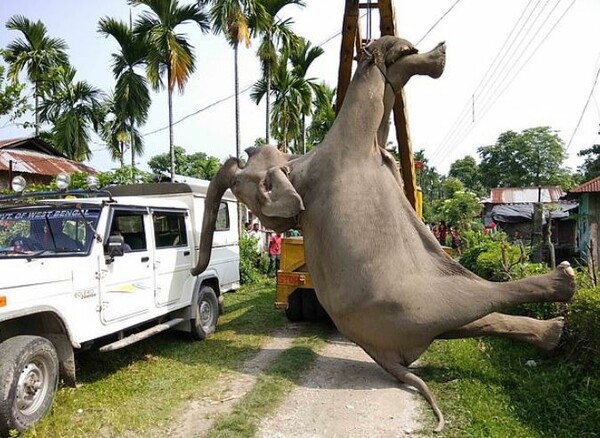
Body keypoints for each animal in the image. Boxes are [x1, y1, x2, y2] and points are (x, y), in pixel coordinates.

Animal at [193, 35, 576, 432]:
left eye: (247, 158)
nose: (243, 152)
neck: (297, 165)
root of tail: (383, 357)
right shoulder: (343, 148)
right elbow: (371, 100)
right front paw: (397, 53)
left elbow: (385, 123)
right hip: (411, 307)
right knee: (477, 300)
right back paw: (564, 286)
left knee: (471, 320)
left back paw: (553, 332)